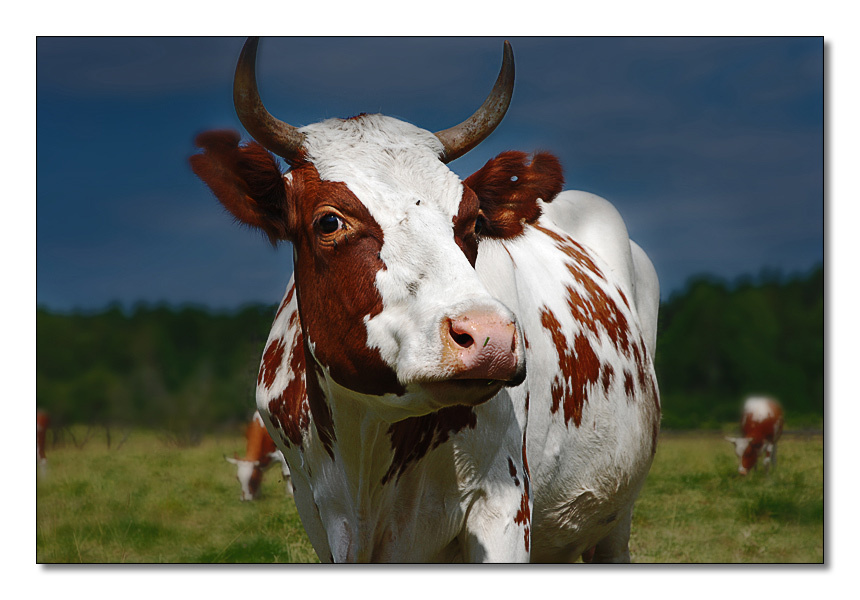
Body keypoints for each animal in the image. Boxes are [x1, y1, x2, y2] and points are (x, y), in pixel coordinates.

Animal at [191, 37, 660, 562]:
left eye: (472, 219)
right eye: (329, 221)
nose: (490, 337)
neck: (366, 449)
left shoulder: (504, 504)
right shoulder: (318, 516)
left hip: (616, 514)